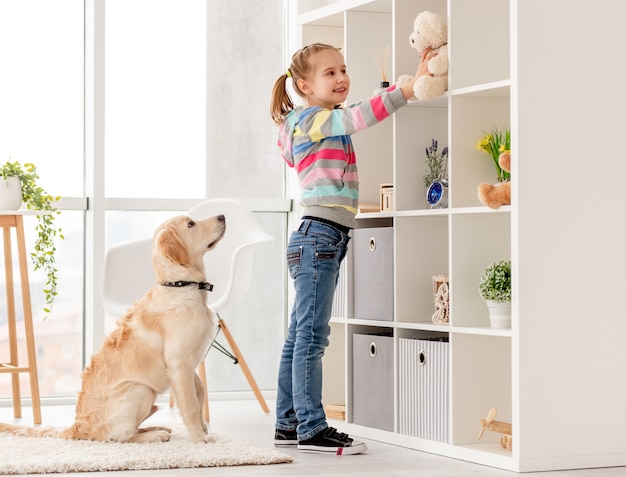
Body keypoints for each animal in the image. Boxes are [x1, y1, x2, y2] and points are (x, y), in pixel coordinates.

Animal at [0, 213, 224, 442]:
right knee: (122, 437)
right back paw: (156, 435)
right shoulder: (179, 363)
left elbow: (200, 392)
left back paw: (155, 428)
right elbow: (190, 404)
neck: (181, 285)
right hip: (140, 389)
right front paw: (200, 438)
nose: (222, 216)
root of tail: (77, 427)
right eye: (191, 224)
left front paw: (203, 428)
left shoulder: (189, 362)